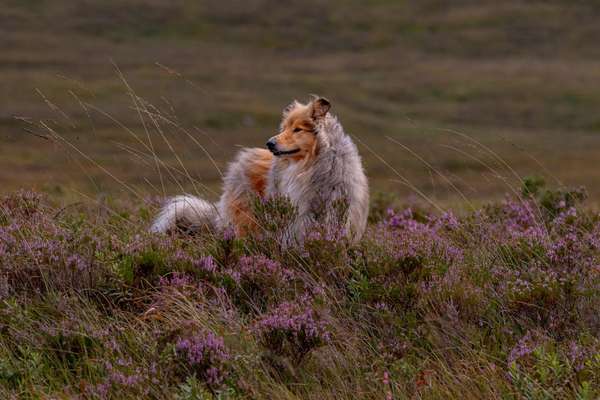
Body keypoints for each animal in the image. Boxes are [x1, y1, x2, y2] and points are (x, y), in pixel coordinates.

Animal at [151, 97, 366, 244]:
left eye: (298, 129)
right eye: (284, 127)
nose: (269, 143)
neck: (314, 165)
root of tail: (242, 158)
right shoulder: (300, 215)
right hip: (247, 217)